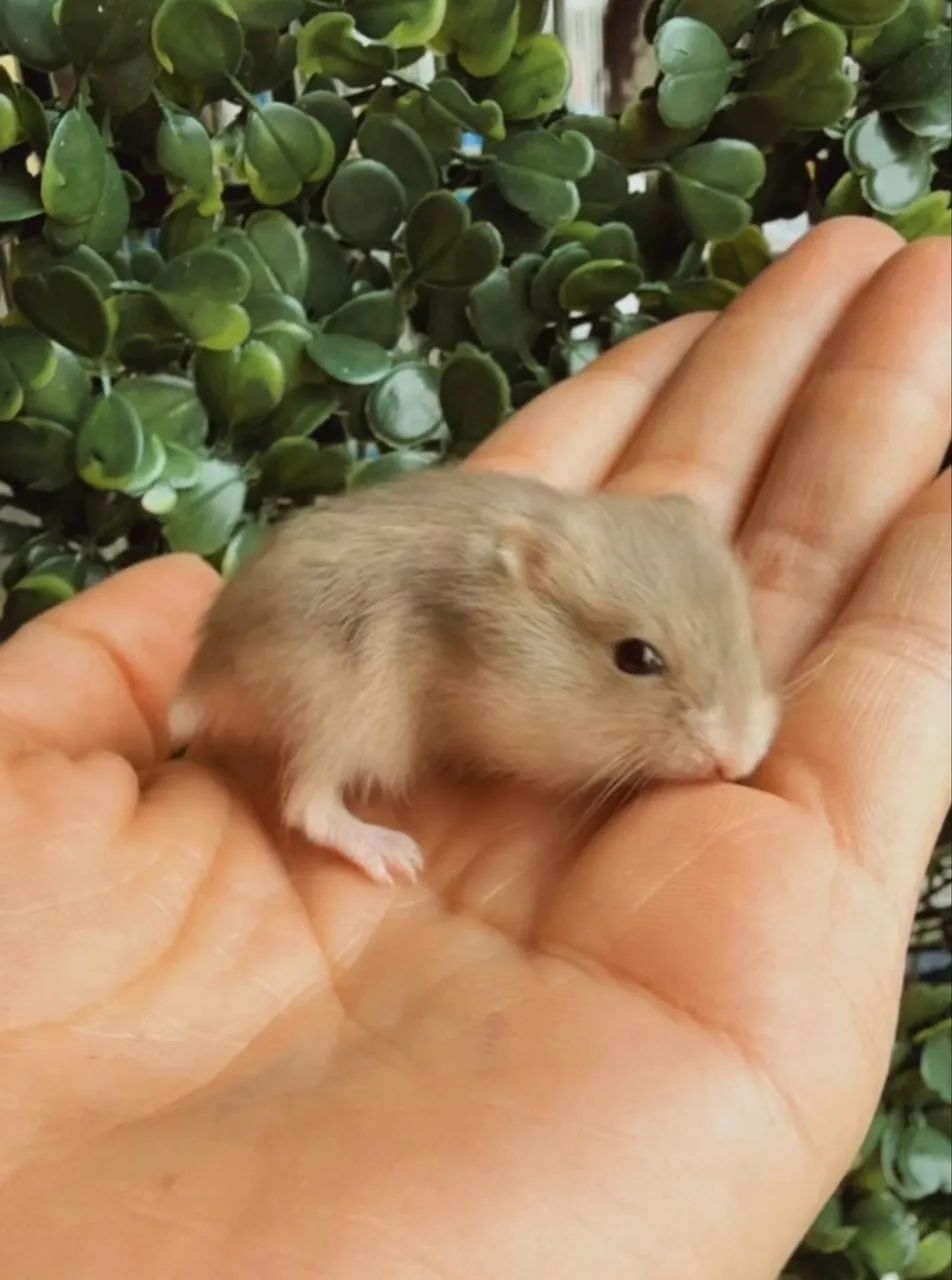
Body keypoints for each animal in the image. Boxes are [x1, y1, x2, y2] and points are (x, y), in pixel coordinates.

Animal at [171, 470, 779, 884]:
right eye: (635, 657)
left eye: (748, 629)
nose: (738, 762)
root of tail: (208, 672)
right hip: (341, 716)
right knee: (308, 805)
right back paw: (395, 857)